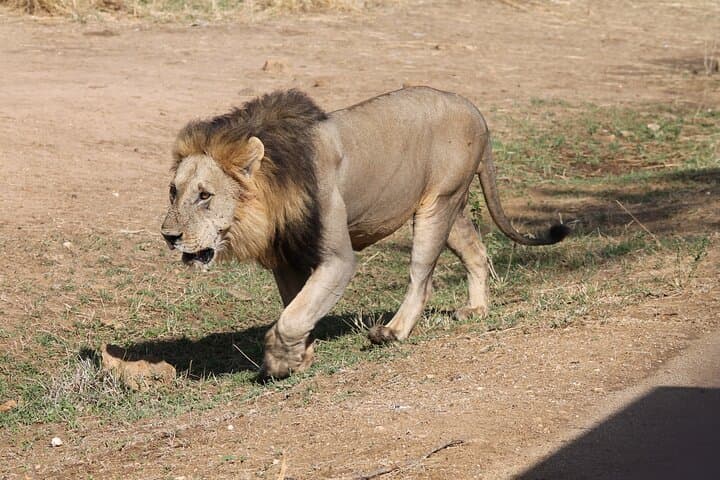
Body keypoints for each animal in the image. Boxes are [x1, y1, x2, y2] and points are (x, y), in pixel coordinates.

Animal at [161, 87, 569, 378]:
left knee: (422, 278)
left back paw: (392, 333)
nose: (168, 236)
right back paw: (477, 309)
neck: (274, 190)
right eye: (173, 191)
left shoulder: (338, 259)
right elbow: (296, 307)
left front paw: (278, 361)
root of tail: (473, 109)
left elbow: (293, 315)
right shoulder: (287, 258)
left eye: (204, 195)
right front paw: (300, 356)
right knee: (476, 252)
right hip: (449, 206)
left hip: (437, 206)